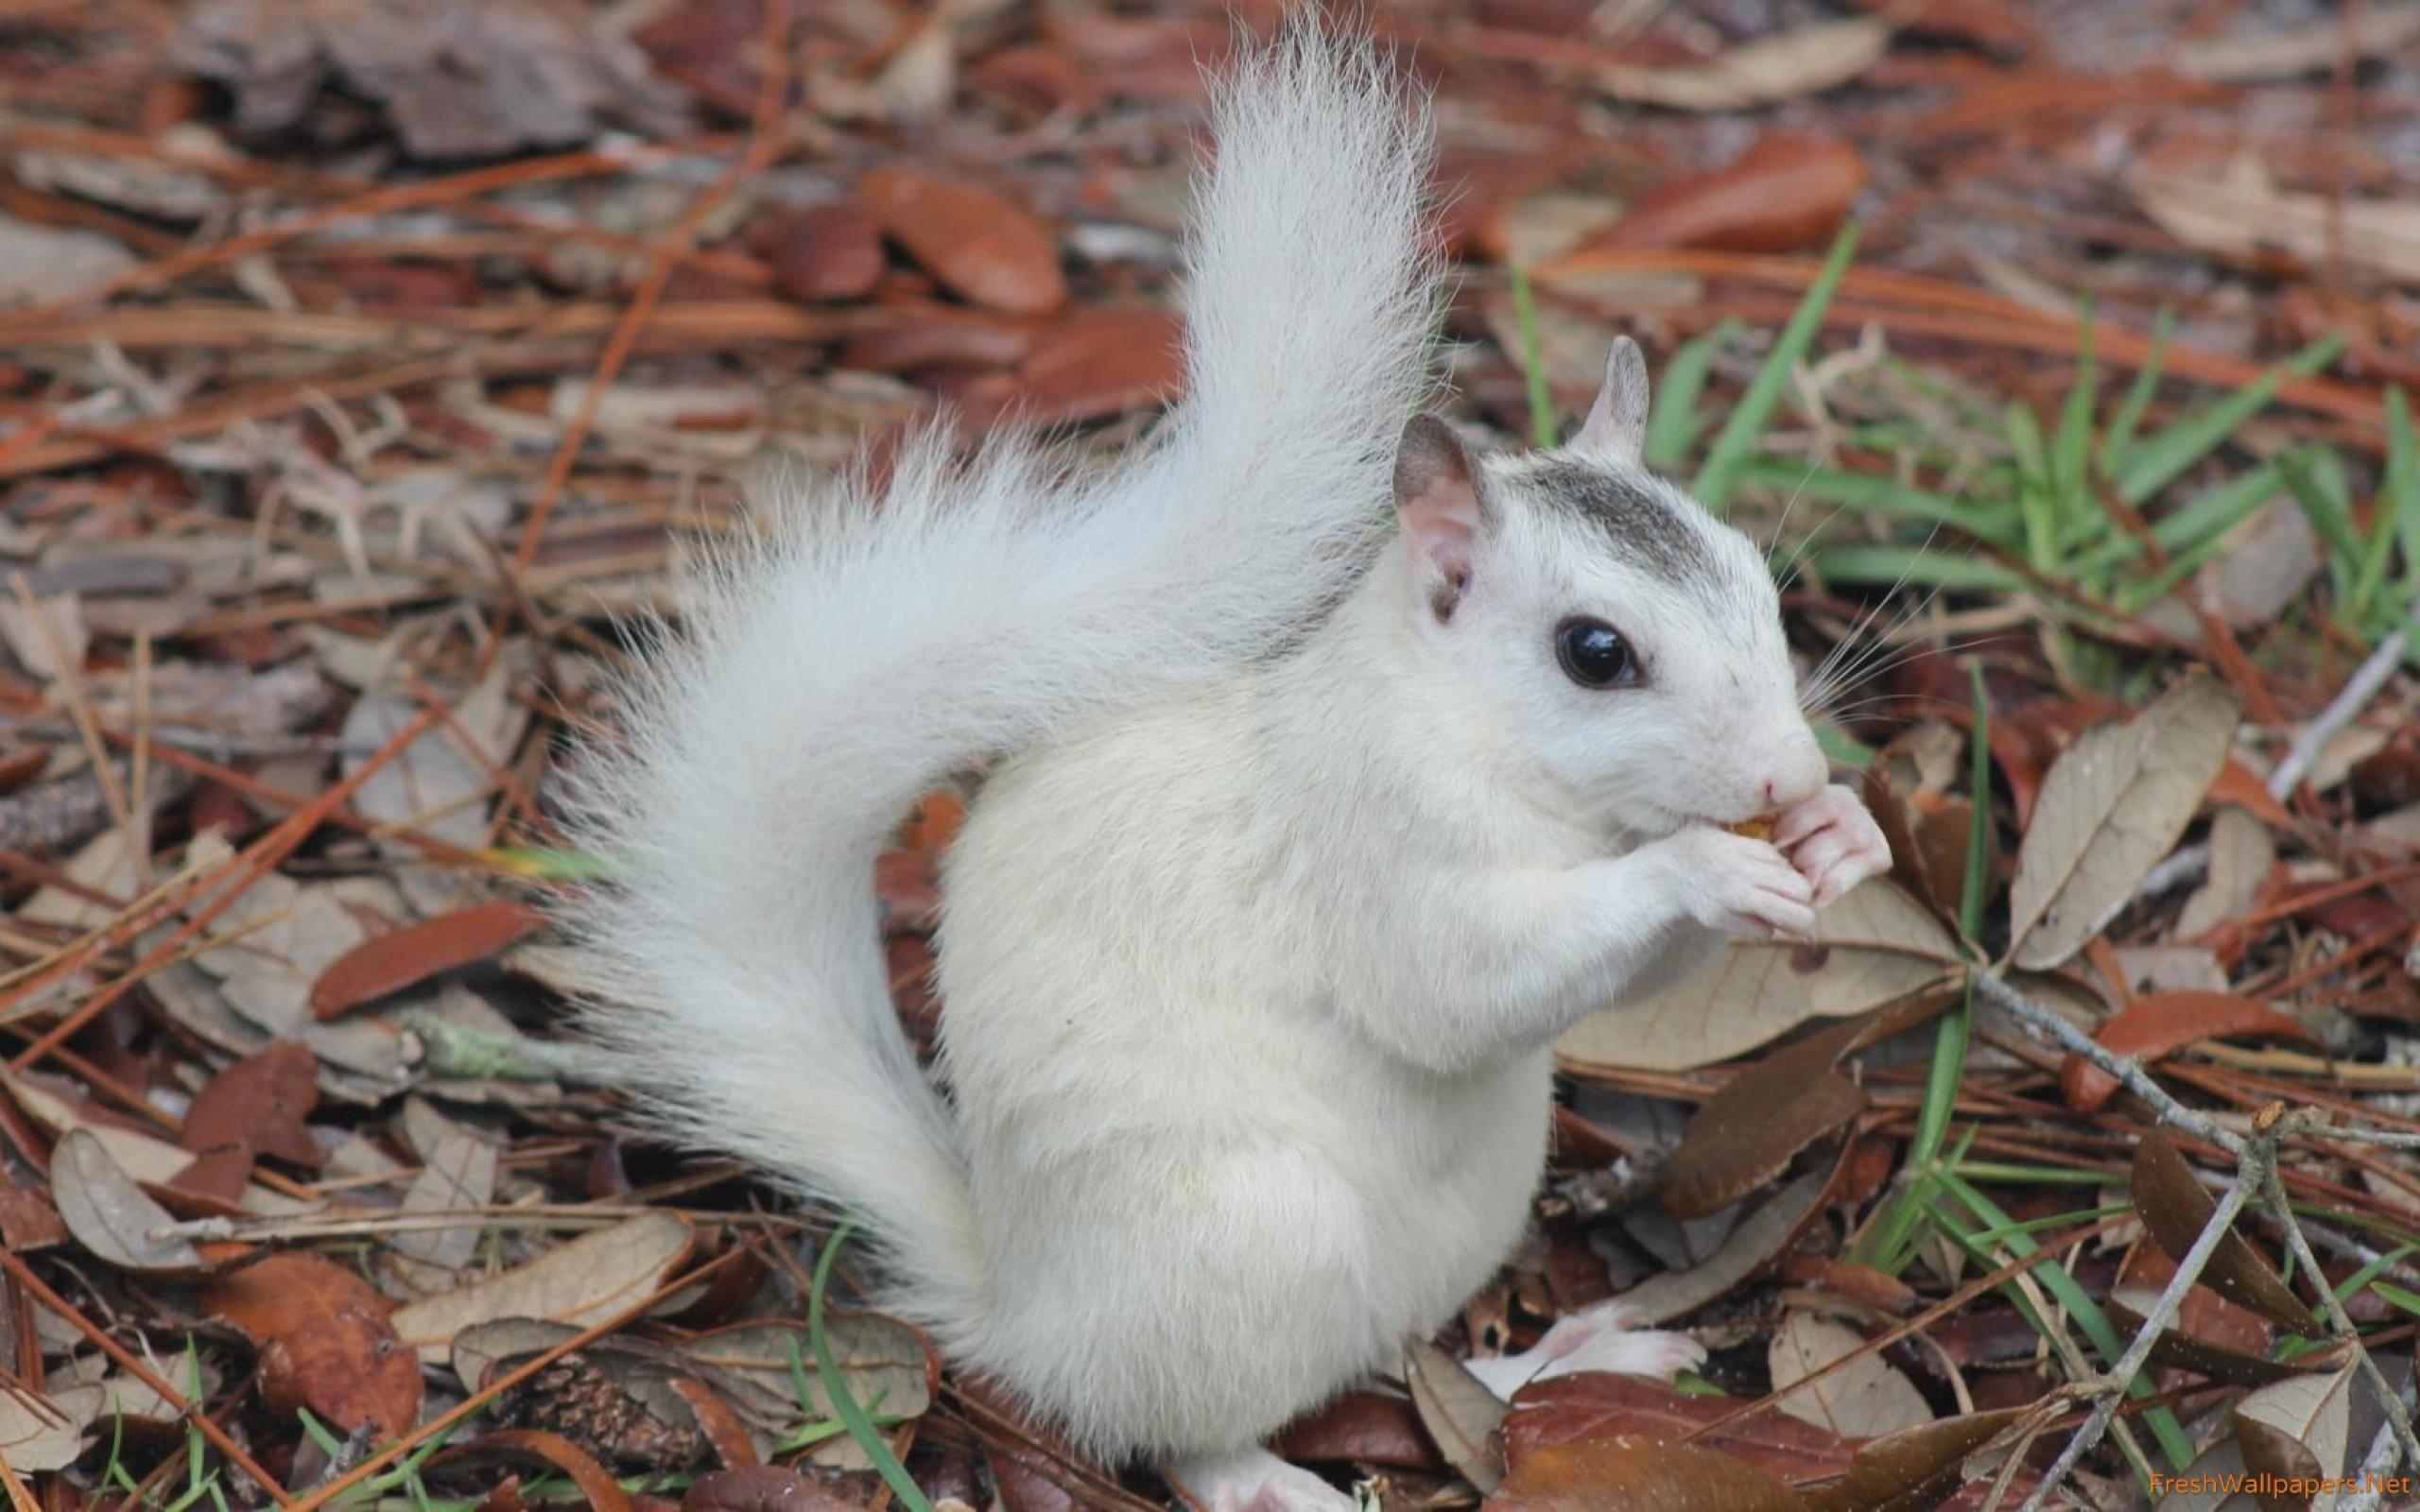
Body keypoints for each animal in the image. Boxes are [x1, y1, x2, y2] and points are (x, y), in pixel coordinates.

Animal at [566, 20, 1887, 1509]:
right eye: (1594, 653)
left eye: (1756, 582)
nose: (1781, 778)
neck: (1493, 748)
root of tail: (1027, 1314)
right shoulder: (1374, 831)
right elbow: (1453, 983)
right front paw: (1702, 867)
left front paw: (1842, 837)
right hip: (1252, 1241)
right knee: (1187, 1432)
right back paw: (1277, 1476)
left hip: (1469, 1209)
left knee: (1406, 1362)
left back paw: (1545, 1367)